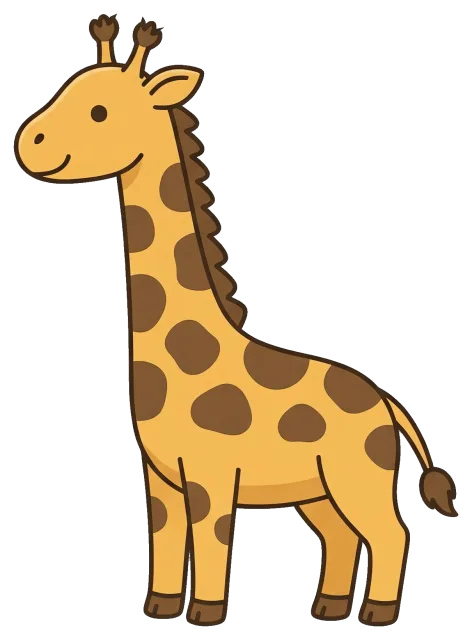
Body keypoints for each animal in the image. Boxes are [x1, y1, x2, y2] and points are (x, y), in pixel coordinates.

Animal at [14, 15, 458, 628]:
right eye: (69, 89)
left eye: (100, 111)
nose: (27, 144)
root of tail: (390, 405)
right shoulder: (161, 478)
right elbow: (166, 541)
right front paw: (160, 608)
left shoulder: (211, 475)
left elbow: (213, 542)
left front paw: (205, 613)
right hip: (317, 491)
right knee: (342, 537)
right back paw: (327, 607)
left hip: (358, 478)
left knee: (390, 533)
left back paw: (377, 613)